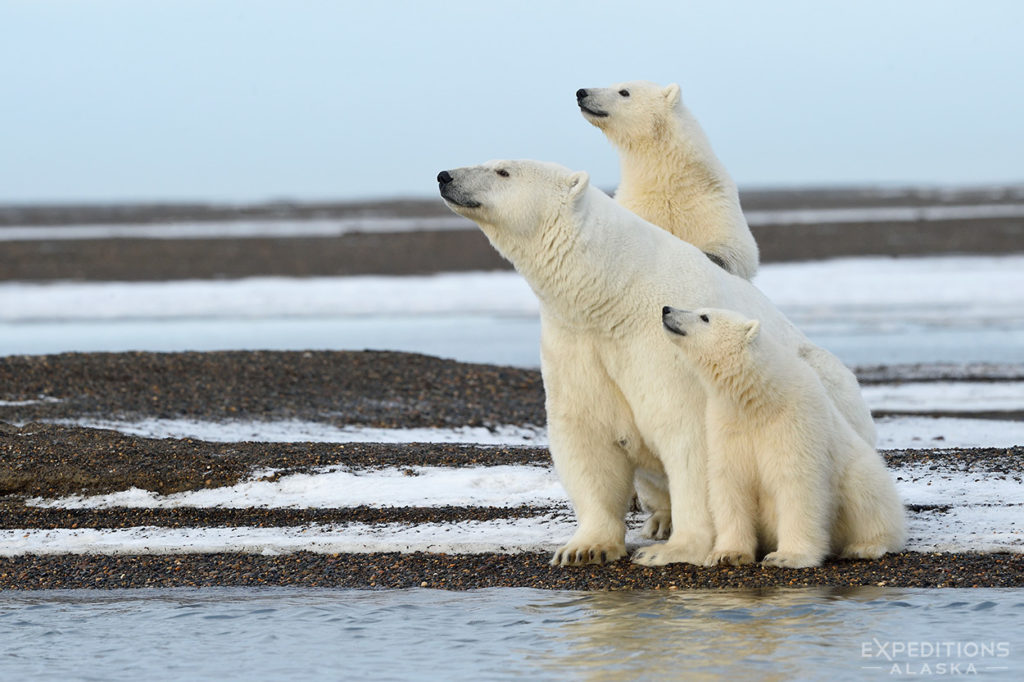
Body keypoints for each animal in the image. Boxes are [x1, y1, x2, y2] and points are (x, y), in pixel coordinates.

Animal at [436, 159, 876, 561]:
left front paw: (674, 550)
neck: (613, 293)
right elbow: (586, 432)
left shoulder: (670, 350)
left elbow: (690, 438)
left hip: (825, 387)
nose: (445, 176)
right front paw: (585, 548)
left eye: (503, 170)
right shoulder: (576, 342)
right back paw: (659, 519)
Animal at [577, 80, 761, 278]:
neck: (666, 178)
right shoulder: (637, 205)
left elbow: (738, 248)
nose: (581, 92)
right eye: (614, 85)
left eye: (624, 92)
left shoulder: (712, 201)